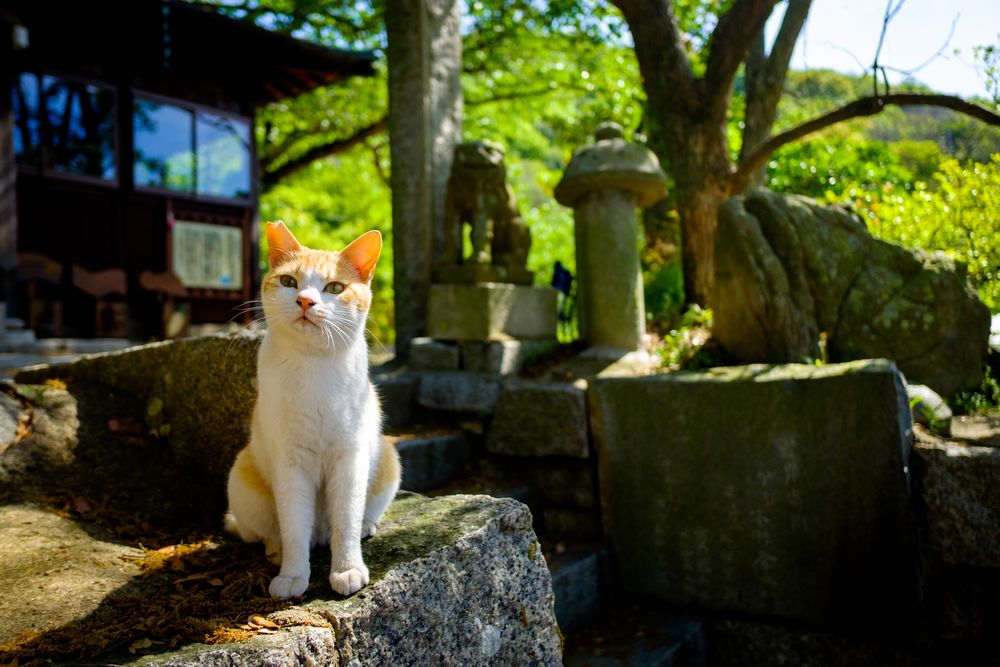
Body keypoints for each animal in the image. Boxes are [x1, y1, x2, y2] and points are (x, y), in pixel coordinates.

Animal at [227, 220, 398, 600]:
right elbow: (294, 527)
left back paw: (366, 526)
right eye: (289, 282)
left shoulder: (350, 459)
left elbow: (346, 521)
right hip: (240, 475)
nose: (305, 300)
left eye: (335, 287)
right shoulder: (290, 463)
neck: (313, 368)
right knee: (268, 532)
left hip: (389, 458)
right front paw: (292, 575)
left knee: (357, 517)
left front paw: (347, 569)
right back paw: (276, 549)